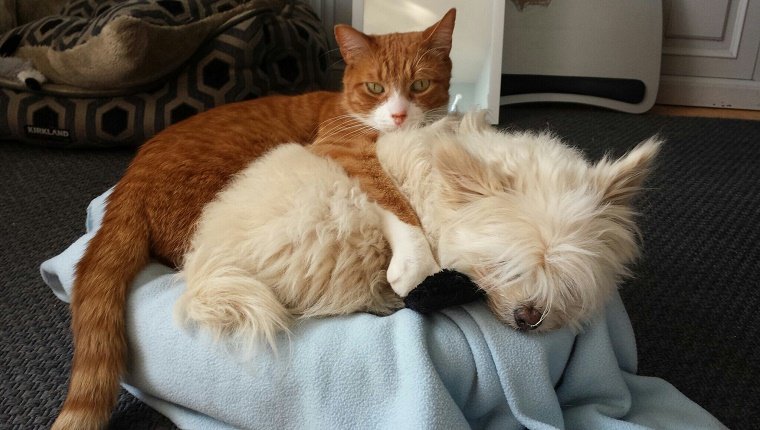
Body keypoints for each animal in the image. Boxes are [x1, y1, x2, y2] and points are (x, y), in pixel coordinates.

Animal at [55, 8, 458, 428]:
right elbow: (390, 196)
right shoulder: (343, 149)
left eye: (420, 84)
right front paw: (418, 261)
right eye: (375, 88)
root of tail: (129, 179)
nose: (398, 115)